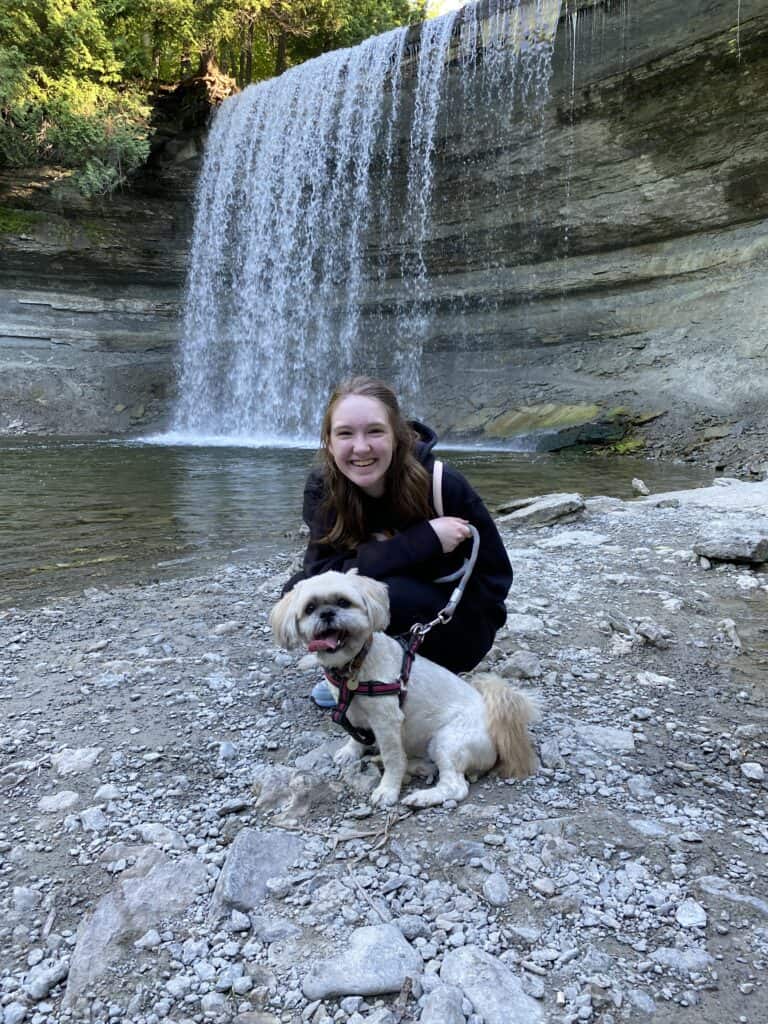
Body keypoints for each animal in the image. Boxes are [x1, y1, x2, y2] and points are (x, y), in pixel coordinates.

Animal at [270, 569, 540, 806]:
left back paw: (422, 796)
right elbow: (355, 735)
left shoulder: (386, 721)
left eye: (343, 602)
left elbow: (393, 758)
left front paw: (388, 789)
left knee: (455, 786)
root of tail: (495, 726)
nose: (326, 613)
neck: (353, 666)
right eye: (310, 609)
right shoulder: (351, 710)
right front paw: (351, 751)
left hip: (447, 741)